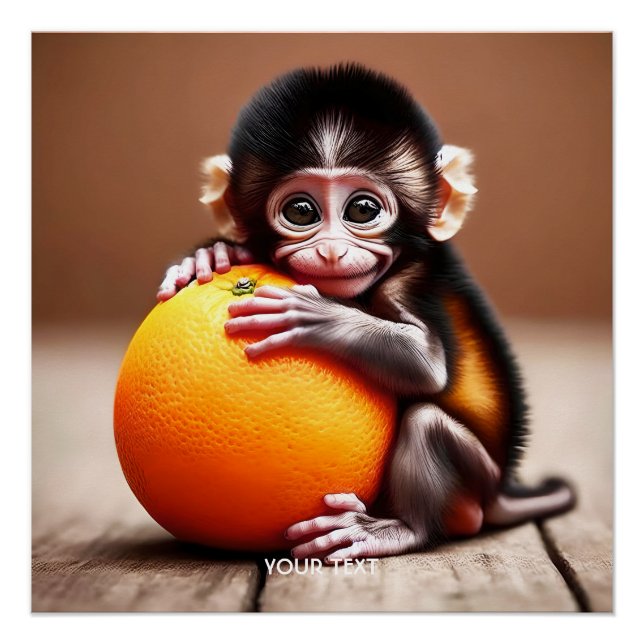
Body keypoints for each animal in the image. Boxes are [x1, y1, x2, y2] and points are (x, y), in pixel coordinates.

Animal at [157, 64, 575, 561]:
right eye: (301, 211)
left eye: (362, 209)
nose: (333, 251)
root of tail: (500, 489)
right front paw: (212, 254)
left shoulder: (412, 280)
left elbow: (427, 365)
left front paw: (312, 314)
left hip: (475, 474)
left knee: (426, 422)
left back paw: (399, 529)